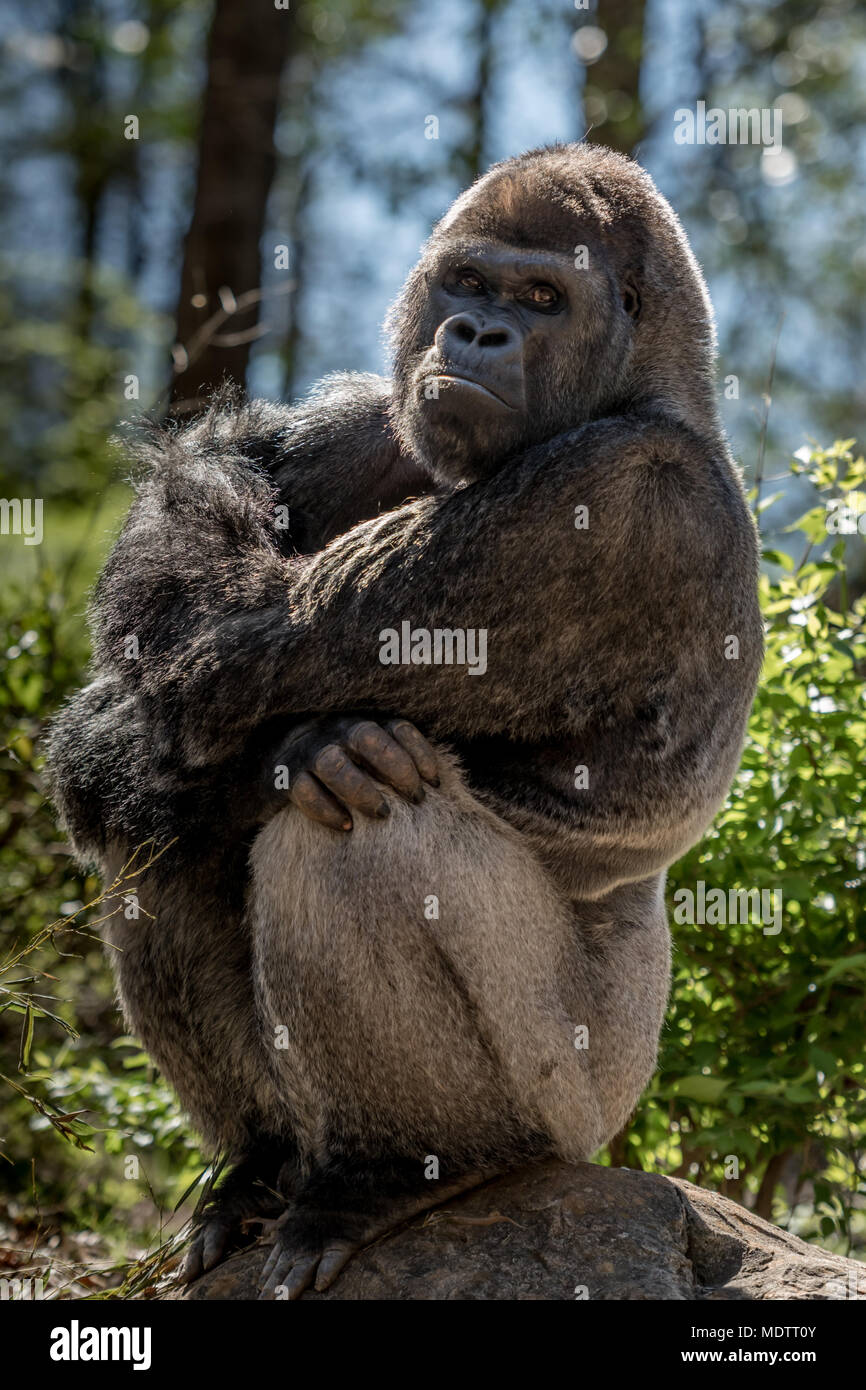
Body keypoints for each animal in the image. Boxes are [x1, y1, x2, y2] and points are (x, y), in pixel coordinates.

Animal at [47, 146, 761, 1295]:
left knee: (352, 830)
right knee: (167, 820)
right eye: (467, 283)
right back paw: (261, 1164)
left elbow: (251, 636)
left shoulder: (619, 496)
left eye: (541, 298)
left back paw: (401, 1173)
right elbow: (157, 639)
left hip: (581, 1098)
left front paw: (306, 739)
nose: (473, 335)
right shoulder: (375, 418)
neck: (651, 380)